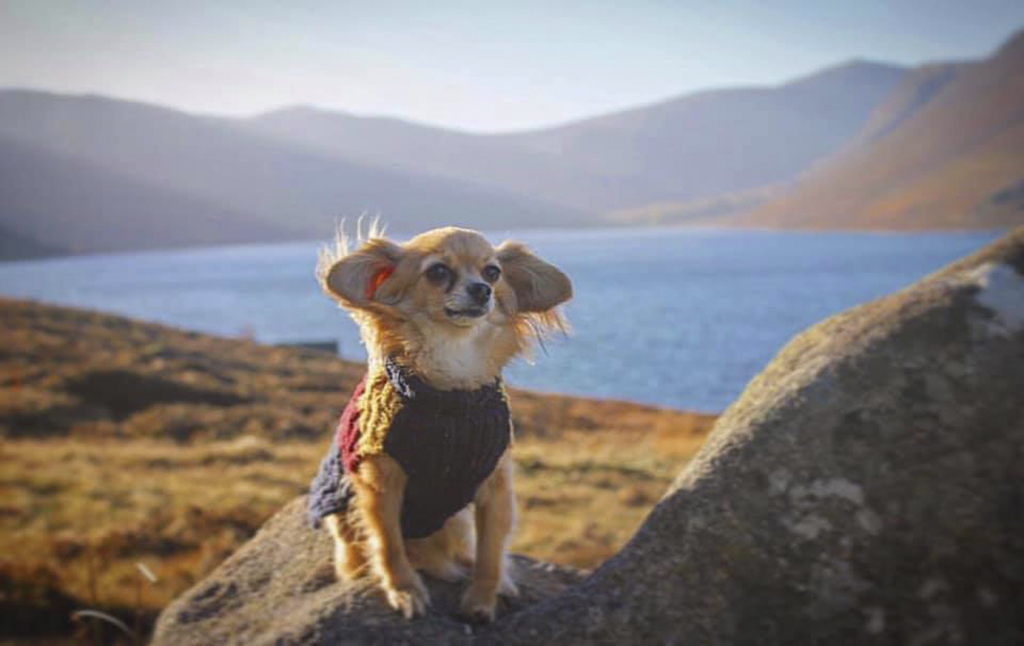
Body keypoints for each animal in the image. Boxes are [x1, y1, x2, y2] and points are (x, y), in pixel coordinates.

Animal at [303, 222, 577, 622]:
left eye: (492, 272)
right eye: (437, 272)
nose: (482, 289)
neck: (452, 377)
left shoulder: (496, 486)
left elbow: (491, 551)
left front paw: (482, 600)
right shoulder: (380, 485)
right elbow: (388, 545)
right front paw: (404, 590)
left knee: (464, 551)